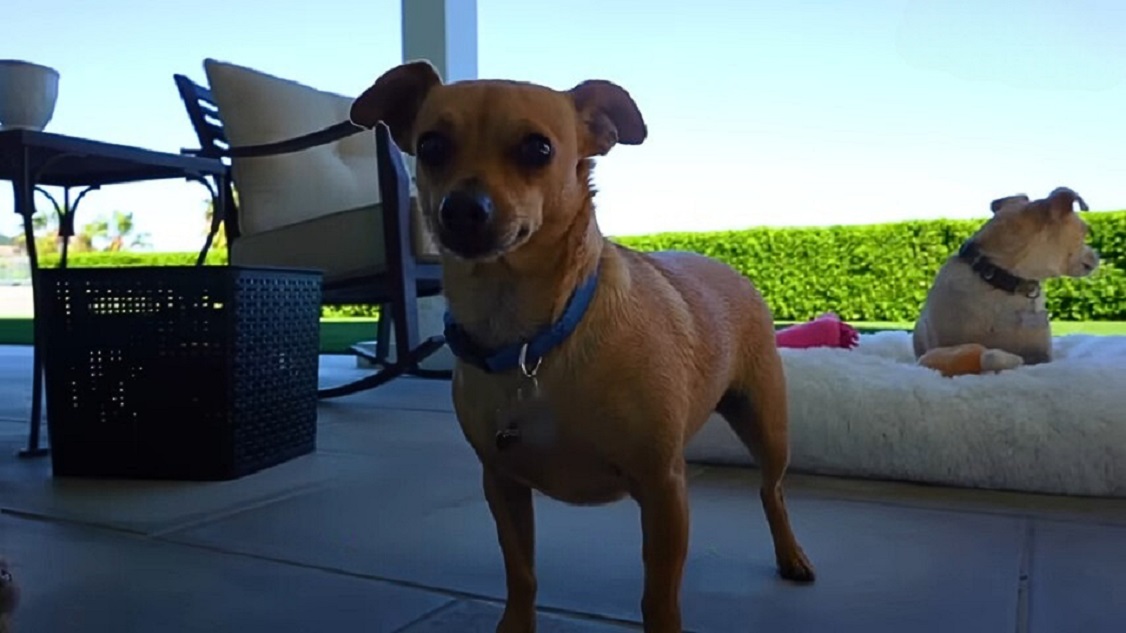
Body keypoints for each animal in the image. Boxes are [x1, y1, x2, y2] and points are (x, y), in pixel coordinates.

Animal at [346, 60, 815, 630]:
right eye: (431, 145)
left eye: (538, 149)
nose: (461, 209)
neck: (530, 339)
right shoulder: (501, 484)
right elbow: (522, 573)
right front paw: (515, 624)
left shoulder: (662, 488)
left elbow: (659, 597)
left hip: (765, 425)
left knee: (773, 492)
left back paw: (791, 555)